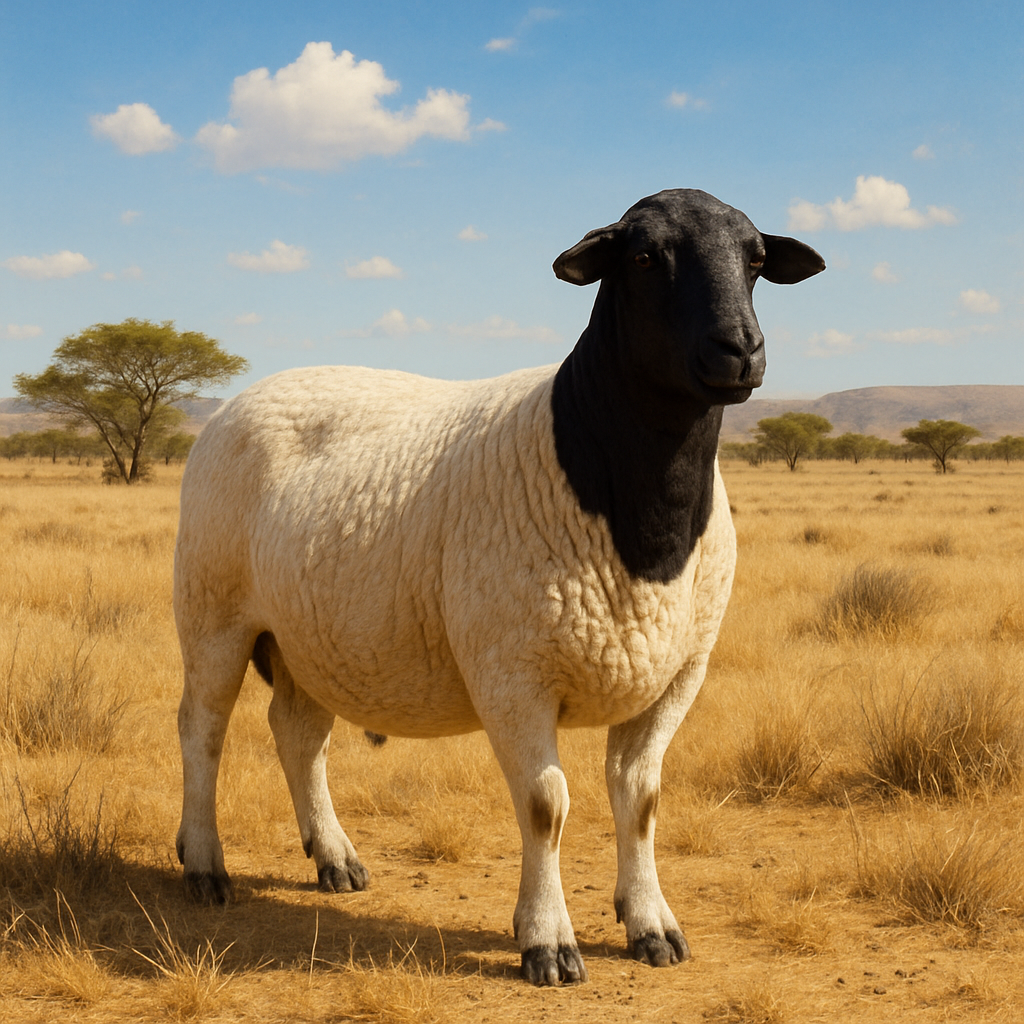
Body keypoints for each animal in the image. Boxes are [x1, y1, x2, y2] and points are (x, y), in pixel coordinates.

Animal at [173, 188, 825, 986]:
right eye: (645, 257)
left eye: (756, 260)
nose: (740, 351)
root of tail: (243, 396)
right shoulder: (513, 672)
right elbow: (546, 806)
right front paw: (548, 941)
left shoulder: (677, 673)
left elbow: (640, 799)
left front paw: (651, 924)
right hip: (213, 610)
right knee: (202, 730)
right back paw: (205, 865)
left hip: (311, 637)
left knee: (297, 734)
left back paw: (335, 859)